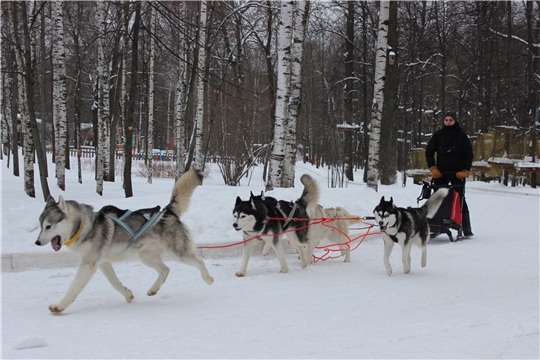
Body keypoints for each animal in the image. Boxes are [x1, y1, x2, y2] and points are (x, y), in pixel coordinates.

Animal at [34, 170, 213, 314]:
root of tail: (167, 211)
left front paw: (59, 307)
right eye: (41, 226)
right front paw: (128, 294)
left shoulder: (88, 265)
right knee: (165, 270)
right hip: (146, 256)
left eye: (48, 226)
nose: (37, 242)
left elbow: (73, 288)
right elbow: (114, 282)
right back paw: (153, 290)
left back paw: (208, 278)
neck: (85, 225)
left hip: (179, 253)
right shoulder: (103, 263)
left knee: (199, 261)